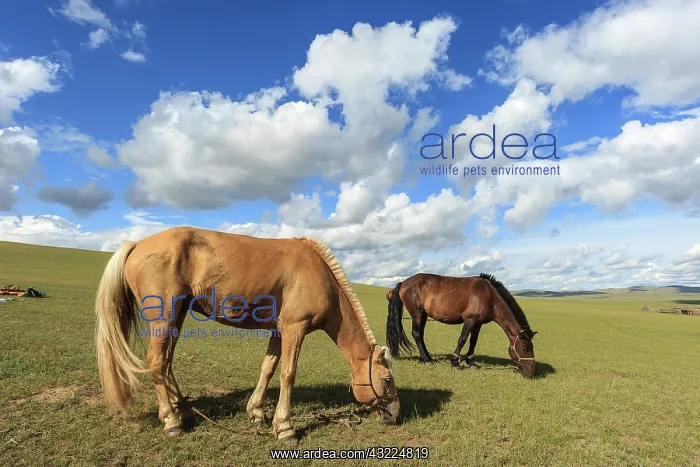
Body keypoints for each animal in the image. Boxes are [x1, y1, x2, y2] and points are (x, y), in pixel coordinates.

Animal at [94, 226, 400, 445]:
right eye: (387, 380)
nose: (396, 415)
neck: (321, 277)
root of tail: (136, 244)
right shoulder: (295, 329)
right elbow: (287, 373)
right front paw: (284, 427)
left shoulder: (279, 331)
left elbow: (268, 368)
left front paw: (257, 413)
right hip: (164, 317)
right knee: (157, 362)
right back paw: (171, 421)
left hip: (177, 316)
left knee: (166, 362)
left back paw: (183, 410)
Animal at [385, 272, 538, 378]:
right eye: (525, 347)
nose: (531, 373)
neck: (489, 296)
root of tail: (404, 282)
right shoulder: (470, 320)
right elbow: (462, 340)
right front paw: (455, 362)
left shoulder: (478, 323)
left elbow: (473, 342)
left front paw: (470, 362)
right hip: (417, 314)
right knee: (417, 334)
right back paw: (426, 359)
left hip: (423, 315)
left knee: (420, 335)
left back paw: (427, 357)